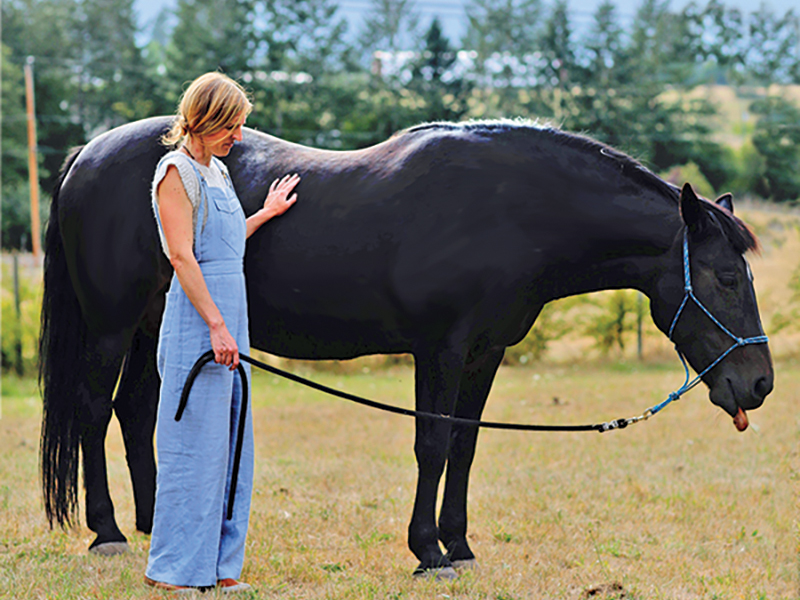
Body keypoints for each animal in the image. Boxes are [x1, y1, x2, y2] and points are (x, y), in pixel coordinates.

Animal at [40, 116, 773, 576]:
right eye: (727, 276)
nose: (759, 383)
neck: (511, 211)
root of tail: (86, 155)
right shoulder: (440, 350)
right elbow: (432, 443)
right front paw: (429, 552)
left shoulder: (484, 353)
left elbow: (465, 445)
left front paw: (460, 544)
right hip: (111, 326)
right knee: (93, 412)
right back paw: (108, 532)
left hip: (154, 324)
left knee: (136, 410)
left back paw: (153, 523)